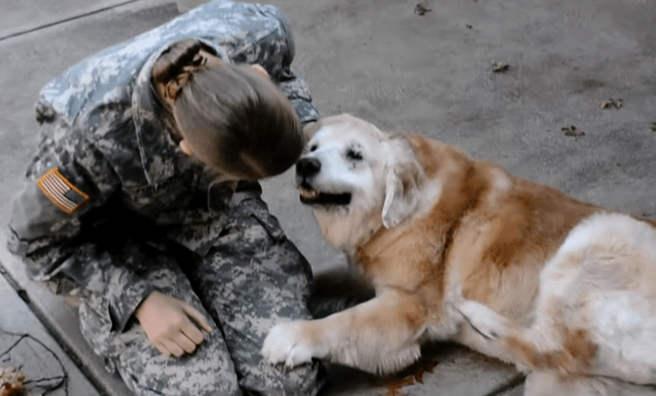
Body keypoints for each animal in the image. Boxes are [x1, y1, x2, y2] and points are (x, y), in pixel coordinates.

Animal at [262, 113, 656, 394]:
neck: (397, 214)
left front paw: (292, 335)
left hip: (594, 235)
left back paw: (479, 319)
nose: (305, 165)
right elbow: (329, 274)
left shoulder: (408, 307)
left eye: (355, 154)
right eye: (312, 148)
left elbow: (344, 322)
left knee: (559, 350)